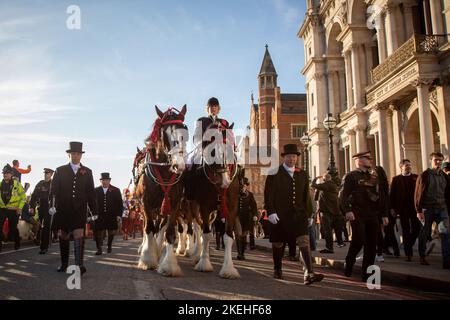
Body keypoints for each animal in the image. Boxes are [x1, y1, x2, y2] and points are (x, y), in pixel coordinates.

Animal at [135, 104, 188, 276]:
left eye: (186, 130)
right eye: (165, 133)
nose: (179, 165)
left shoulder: (174, 203)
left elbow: (169, 233)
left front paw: (169, 265)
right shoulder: (146, 203)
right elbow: (148, 228)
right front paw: (147, 259)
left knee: (161, 227)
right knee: (148, 226)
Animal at [187, 119, 243, 278]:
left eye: (230, 148)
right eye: (212, 151)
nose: (224, 182)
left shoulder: (231, 207)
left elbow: (228, 236)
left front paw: (228, 268)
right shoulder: (205, 207)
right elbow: (205, 234)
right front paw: (204, 263)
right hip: (194, 206)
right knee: (197, 228)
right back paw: (197, 254)